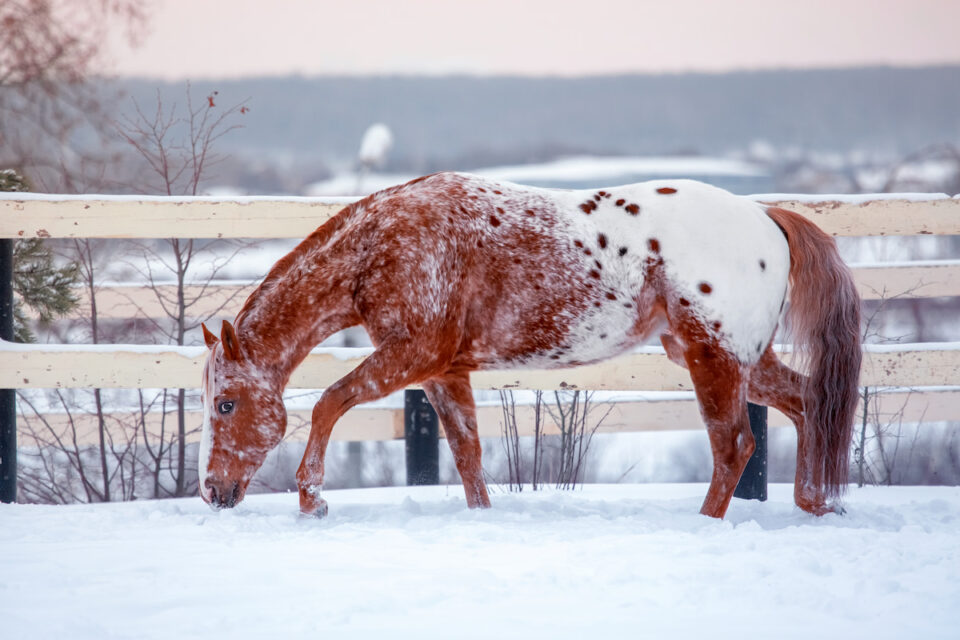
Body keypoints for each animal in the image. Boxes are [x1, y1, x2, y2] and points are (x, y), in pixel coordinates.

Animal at [198, 172, 861, 519]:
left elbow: (328, 403)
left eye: (226, 404)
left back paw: (708, 523)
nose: (211, 491)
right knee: (809, 405)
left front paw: (311, 498)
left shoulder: (410, 355)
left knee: (734, 446)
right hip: (742, 361)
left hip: (713, 358)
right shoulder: (442, 371)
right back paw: (814, 503)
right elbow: (467, 453)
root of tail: (767, 217)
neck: (384, 245)